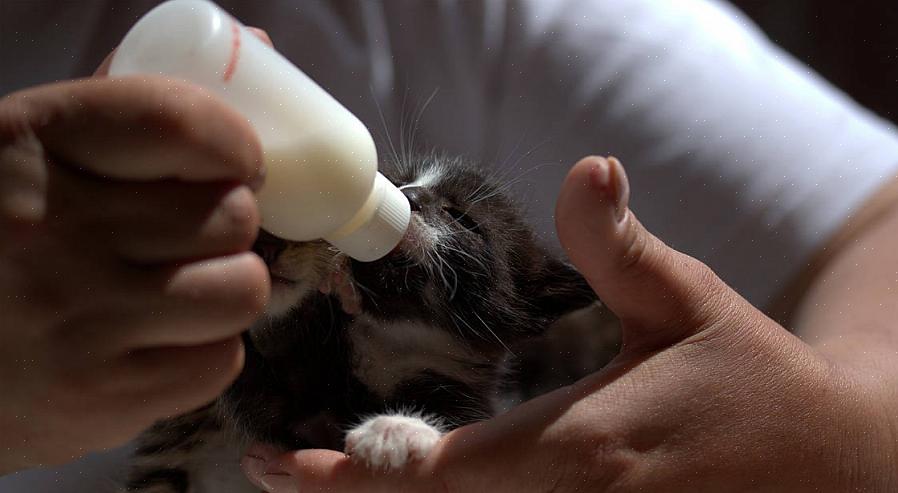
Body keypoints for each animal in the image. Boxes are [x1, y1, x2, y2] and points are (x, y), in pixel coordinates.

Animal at [119, 154, 596, 492]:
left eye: (463, 219)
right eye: (402, 183)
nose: (409, 197)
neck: (386, 348)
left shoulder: (465, 394)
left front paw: (396, 430)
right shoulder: (287, 411)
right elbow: (260, 397)